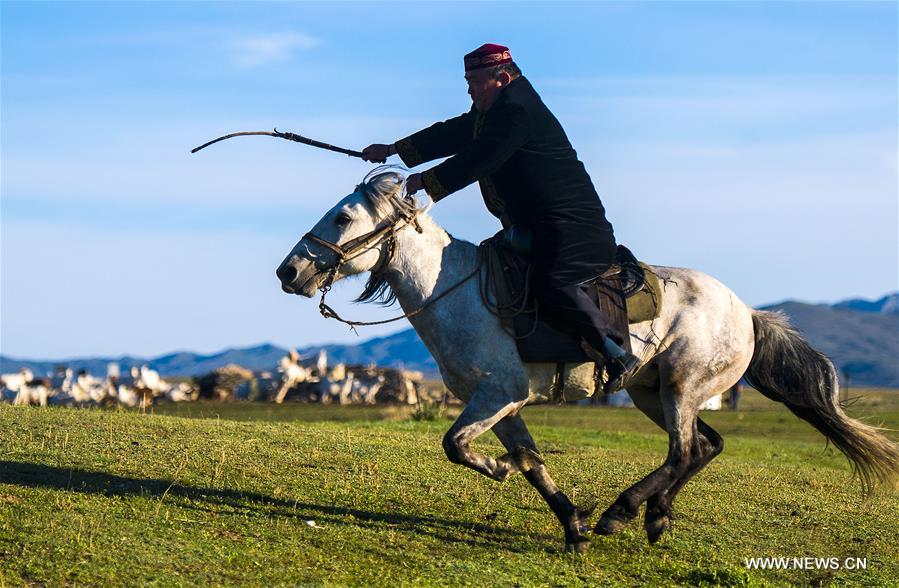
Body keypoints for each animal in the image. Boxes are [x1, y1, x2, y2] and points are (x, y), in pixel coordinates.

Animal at [278, 170, 896, 552]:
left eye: (342, 218)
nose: (289, 271)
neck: (456, 289)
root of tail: (746, 311)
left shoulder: (498, 395)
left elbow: (456, 445)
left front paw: (504, 474)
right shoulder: (503, 404)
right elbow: (531, 463)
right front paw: (570, 524)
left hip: (681, 388)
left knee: (684, 449)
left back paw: (623, 511)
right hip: (652, 391)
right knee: (705, 446)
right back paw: (655, 516)